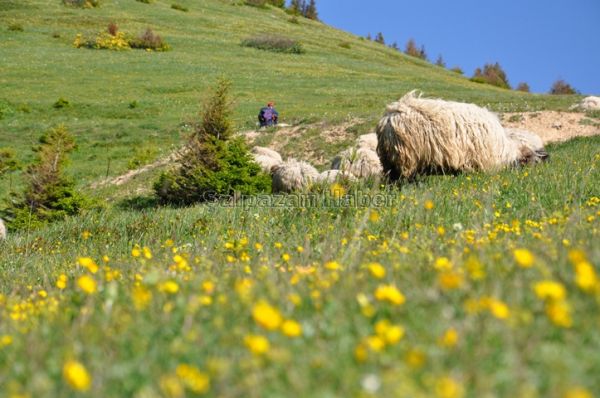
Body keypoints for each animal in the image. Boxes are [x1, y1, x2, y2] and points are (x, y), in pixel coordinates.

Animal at [376, 91, 548, 180]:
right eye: (531, 158)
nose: (546, 159)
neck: (505, 149)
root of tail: (389, 117)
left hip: (389, 158)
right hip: (407, 156)